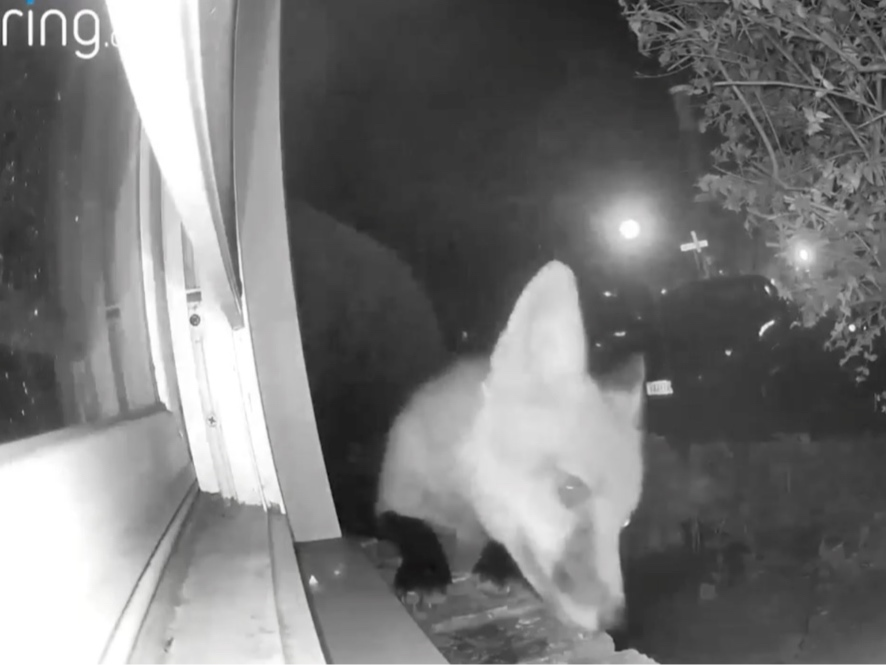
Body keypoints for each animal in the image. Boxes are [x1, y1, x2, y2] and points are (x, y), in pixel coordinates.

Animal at [375, 260, 646, 634]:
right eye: (570, 488)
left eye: (626, 521)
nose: (617, 622)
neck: (462, 514)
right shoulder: (387, 500)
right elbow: (411, 527)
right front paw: (425, 572)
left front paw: (496, 564)